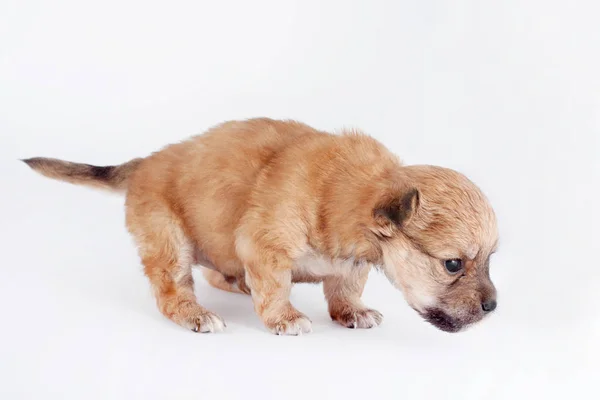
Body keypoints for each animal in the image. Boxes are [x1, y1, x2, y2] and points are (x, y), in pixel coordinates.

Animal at [23, 118, 500, 334]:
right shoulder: (263, 246)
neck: (344, 195)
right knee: (173, 291)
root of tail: (144, 164)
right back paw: (197, 314)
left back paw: (236, 283)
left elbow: (344, 288)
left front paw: (352, 312)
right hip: (169, 241)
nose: (494, 307)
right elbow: (275, 287)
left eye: (490, 259)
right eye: (453, 264)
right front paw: (286, 318)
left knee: (217, 271)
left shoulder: (352, 263)